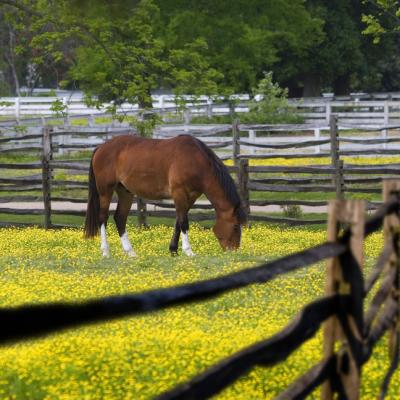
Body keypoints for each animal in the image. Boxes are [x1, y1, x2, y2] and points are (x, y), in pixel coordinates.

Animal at [84, 134, 245, 258]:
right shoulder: (179, 193)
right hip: (105, 191)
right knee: (103, 218)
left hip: (125, 192)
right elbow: (184, 222)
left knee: (120, 218)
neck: (195, 160)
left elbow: (178, 221)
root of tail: (101, 147)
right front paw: (188, 252)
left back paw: (131, 253)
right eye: (236, 226)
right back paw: (106, 252)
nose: (234, 251)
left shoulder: (191, 196)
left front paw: (173, 250)